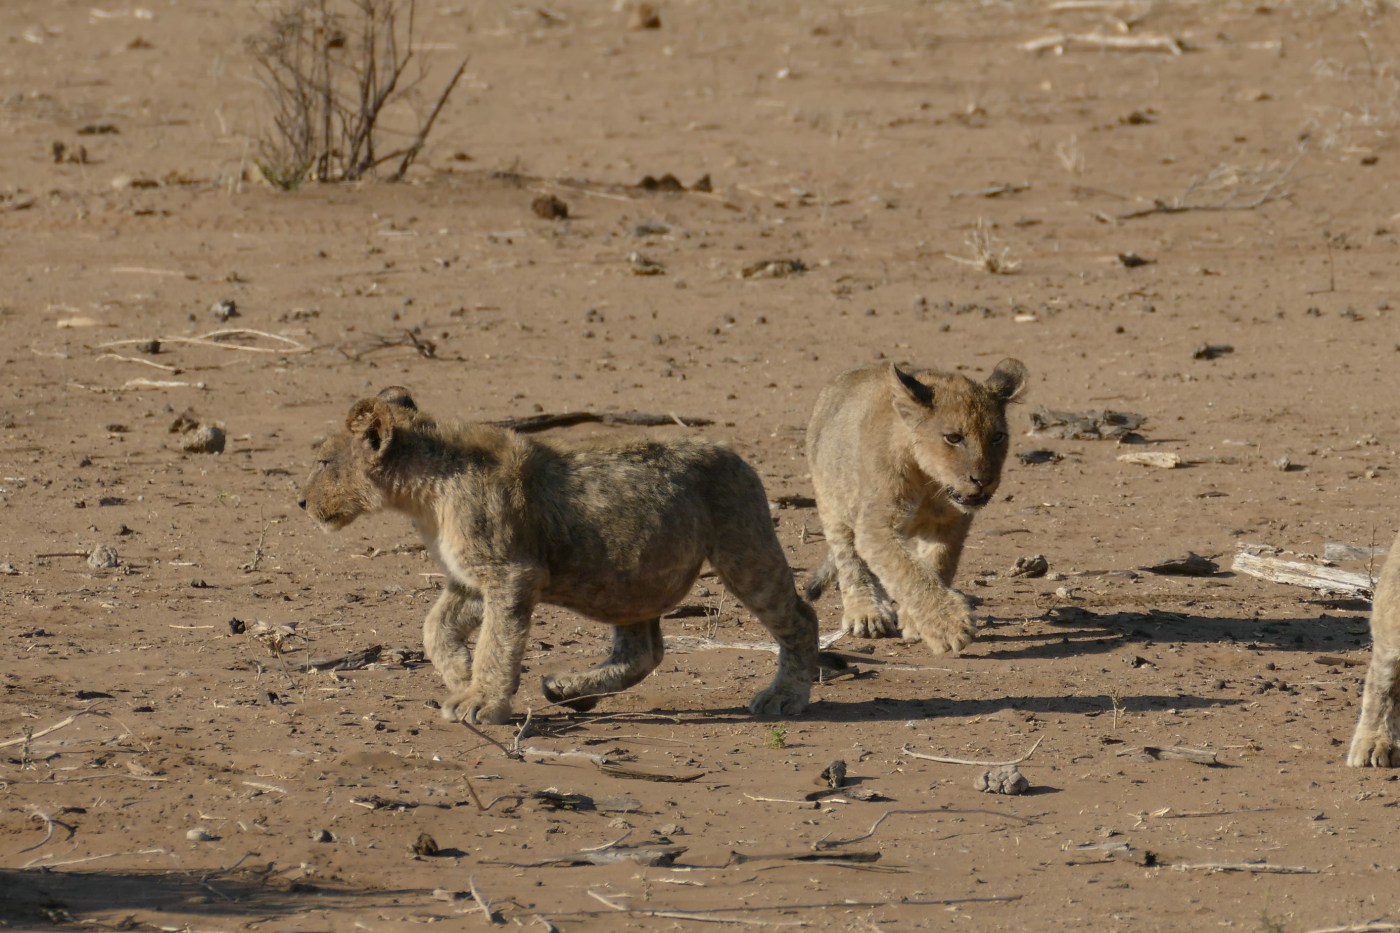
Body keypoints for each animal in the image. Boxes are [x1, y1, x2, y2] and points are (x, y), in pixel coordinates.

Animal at [298, 387, 818, 725]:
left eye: (323, 462)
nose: (301, 502)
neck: (424, 496)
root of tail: (733, 452)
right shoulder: (471, 578)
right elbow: (434, 627)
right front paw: (461, 674)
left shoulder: (511, 573)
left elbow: (497, 642)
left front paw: (480, 701)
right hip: (630, 582)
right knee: (644, 652)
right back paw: (566, 689)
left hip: (743, 549)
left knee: (799, 616)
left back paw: (785, 696)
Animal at [804, 359, 1027, 655]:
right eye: (953, 437)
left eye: (998, 437)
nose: (983, 480)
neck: (929, 481)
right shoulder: (877, 525)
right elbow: (908, 572)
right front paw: (950, 626)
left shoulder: (949, 524)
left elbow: (935, 566)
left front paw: (917, 623)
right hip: (833, 505)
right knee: (850, 561)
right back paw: (867, 614)